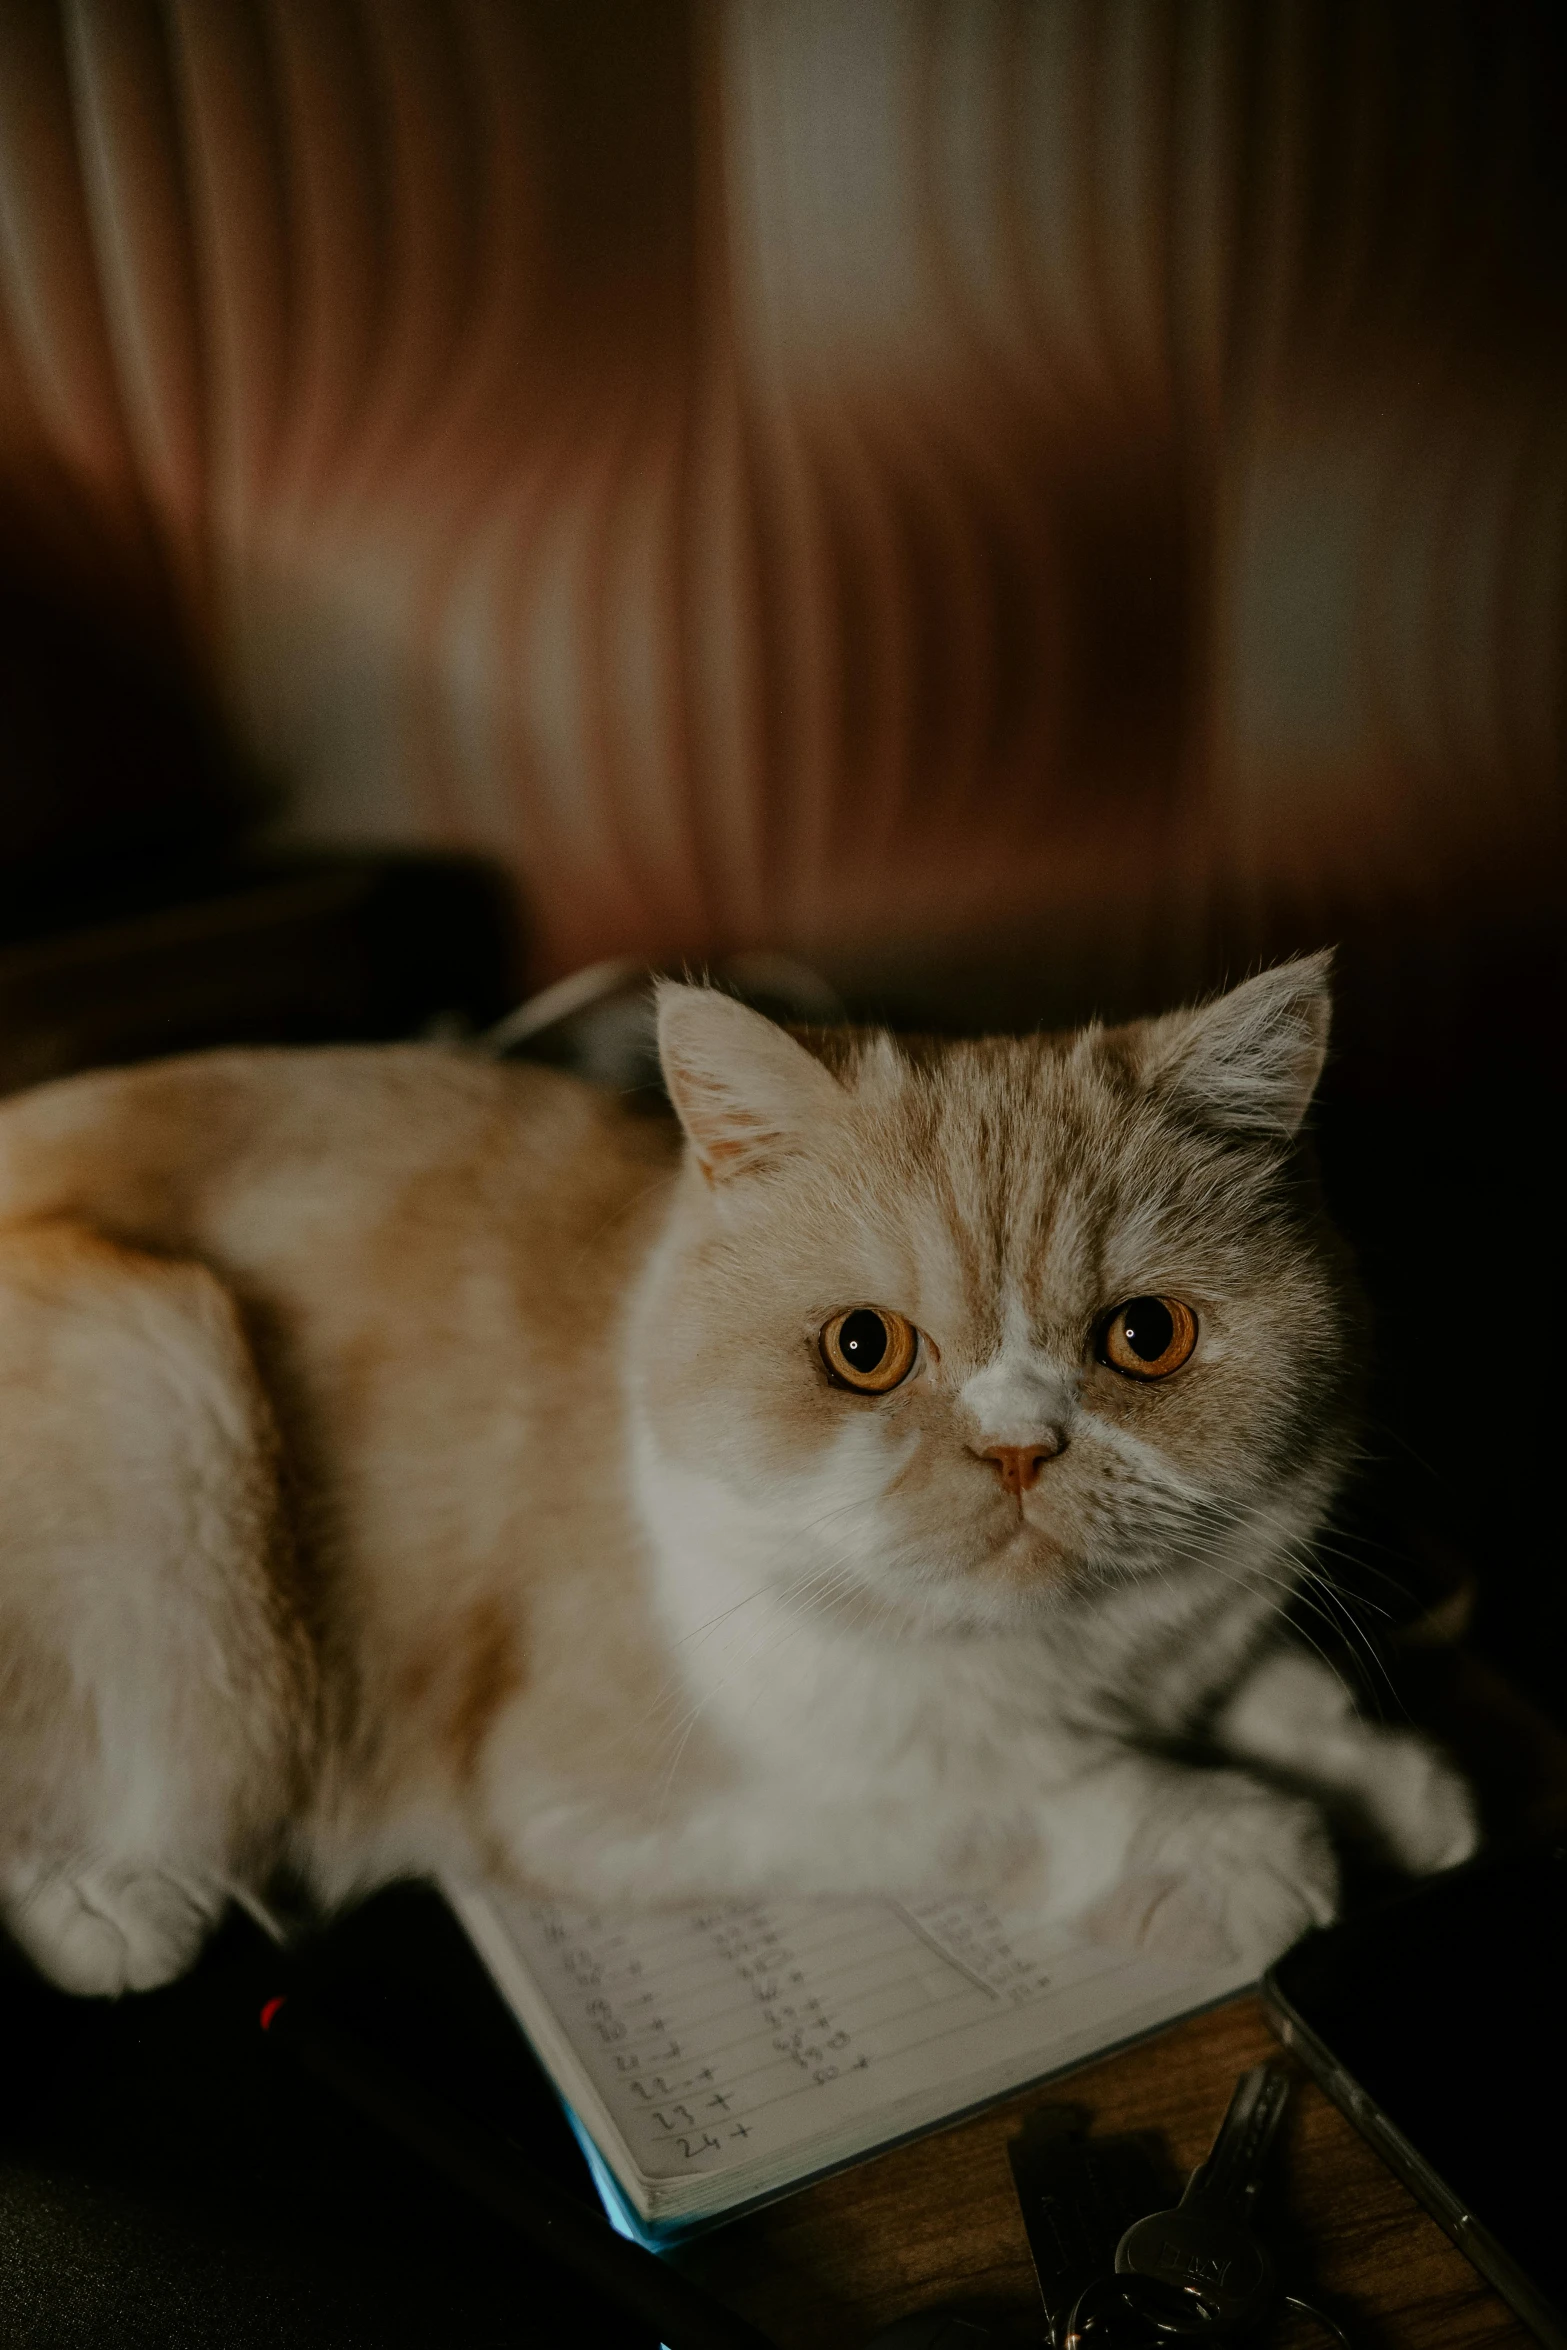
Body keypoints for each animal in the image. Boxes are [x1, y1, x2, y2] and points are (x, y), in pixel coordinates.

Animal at [0, 954, 1484, 2002]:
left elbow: (1276, 1688)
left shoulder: (1202, 1636)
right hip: (170, 1377)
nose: (1016, 1446)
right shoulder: (600, 1791)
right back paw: (116, 1900)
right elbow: (989, 1788)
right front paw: (1234, 1840)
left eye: (1144, 1337)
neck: (1067, 1667)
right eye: (863, 1350)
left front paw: (1389, 1784)